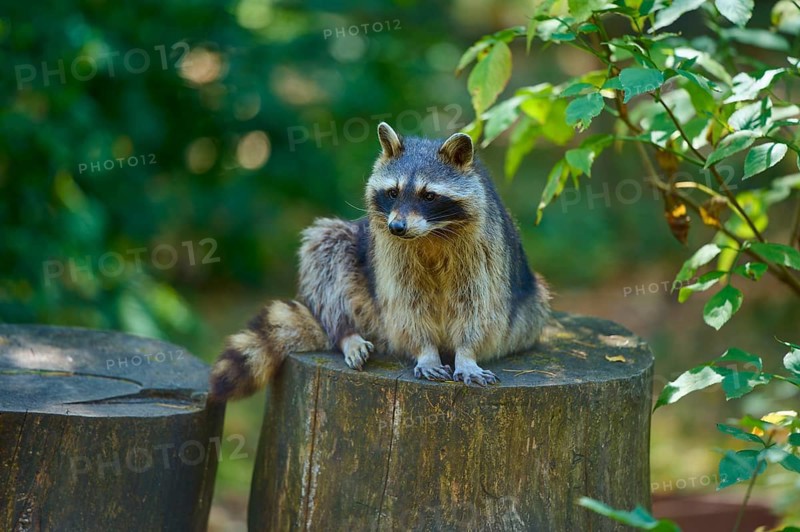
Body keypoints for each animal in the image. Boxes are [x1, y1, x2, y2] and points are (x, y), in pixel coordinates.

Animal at [209, 122, 550, 401]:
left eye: (429, 196)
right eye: (393, 192)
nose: (397, 227)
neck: (430, 234)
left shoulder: (483, 249)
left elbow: (477, 304)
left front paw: (467, 354)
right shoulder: (390, 252)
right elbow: (406, 303)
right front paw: (426, 351)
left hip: (531, 311)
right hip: (372, 304)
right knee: (327, 248)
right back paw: (346, 333)